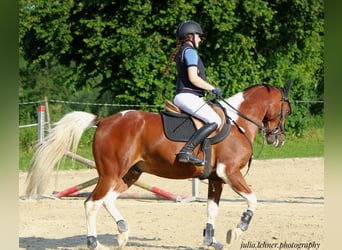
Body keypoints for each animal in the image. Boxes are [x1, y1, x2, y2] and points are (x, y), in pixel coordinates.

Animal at [26, 81, 292, 248]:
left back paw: (123, 233)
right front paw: (237, 229)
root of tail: (103, 122)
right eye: (286, 110)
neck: (238, 122)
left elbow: (211, 209)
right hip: (111, 173)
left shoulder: (217, 179)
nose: (278, 139)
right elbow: (253, 200)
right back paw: (95, 243)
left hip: (129, 174)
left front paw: (211, 241)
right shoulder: (230, 173)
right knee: (92, 203)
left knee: (108, 200)